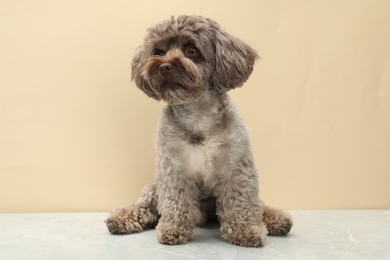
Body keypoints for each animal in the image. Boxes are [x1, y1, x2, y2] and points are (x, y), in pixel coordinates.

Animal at [105, 15, 290, 247]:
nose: (164, 66)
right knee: (145, 205)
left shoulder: (236, 167)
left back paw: (276, 219)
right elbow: (176, 201)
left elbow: (241, 202)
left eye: (192, 49)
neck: (197, 115)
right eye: (158, 51)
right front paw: (174, 229)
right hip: (154, 187)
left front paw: (245, 230)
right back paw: (121, 218)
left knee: (258, 205)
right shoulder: (173, 168)